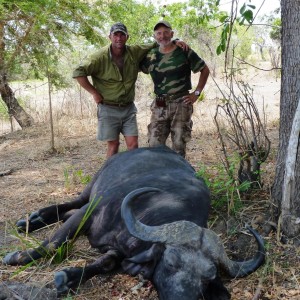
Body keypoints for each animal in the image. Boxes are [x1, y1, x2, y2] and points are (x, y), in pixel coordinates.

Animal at [2, 146, 264, 300]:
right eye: (171, 262)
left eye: (207, 277)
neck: (155, 206)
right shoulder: (91, 210)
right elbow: (53, 244)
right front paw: (17, 257)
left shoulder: (119, 250)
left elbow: (106, 263)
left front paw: (70, 277)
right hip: (92, 186)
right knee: (71, 203)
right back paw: (32, 220)